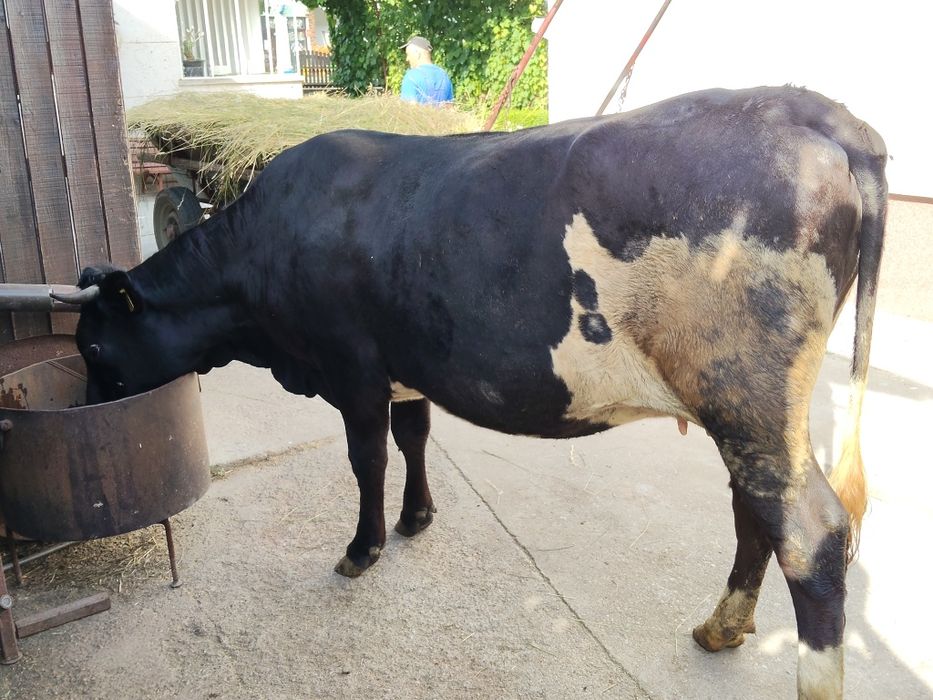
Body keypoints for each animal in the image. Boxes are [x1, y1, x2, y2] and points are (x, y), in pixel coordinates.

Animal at [56, 86, 886, 699]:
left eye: (93, 346)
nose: (88, 411)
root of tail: (814, 111)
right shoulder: (404, 364)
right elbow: (414, 436)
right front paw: (417, 519)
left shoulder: (351, 369)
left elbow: (366, 459)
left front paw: (362, 549)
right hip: (750, 410)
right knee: (754, 512)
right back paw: (720, 627)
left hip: (743, 393)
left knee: (810, 532)